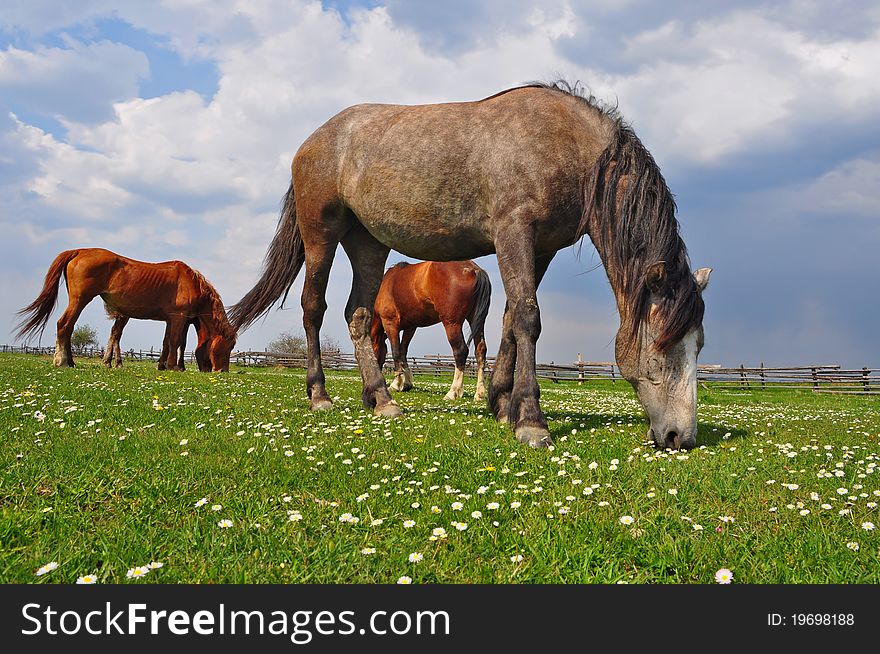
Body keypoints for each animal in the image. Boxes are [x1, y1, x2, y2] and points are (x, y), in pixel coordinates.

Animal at [17, 249, 237, 372]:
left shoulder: (171, 320)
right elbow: (176, 342)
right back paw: (62, 361)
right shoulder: (179, 317)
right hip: (80, 300)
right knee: (65, 325)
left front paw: (162, 365)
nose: (222, 371)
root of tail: (79, 251)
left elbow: (167, 342)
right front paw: (174, 367)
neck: (192, 283)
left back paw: (74, 362)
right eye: (226, 347)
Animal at [372, 260, 496, 402]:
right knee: (480, 350)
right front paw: (406, 383)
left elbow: (396, 352)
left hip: (452, 324)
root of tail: (474, 270)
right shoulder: (411, 327)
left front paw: (397, 384)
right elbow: (403, 352)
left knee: (460, 351)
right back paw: (479, 394)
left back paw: (453, 392)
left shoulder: (390, 323)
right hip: (476, 320)